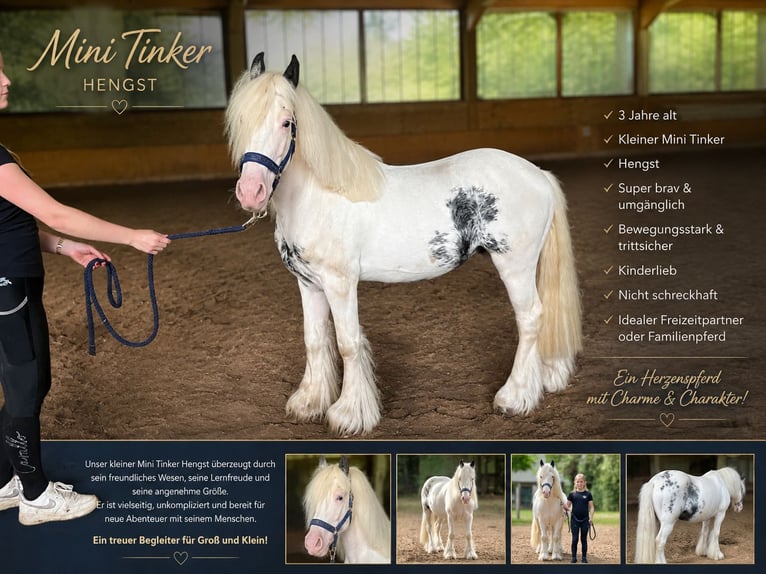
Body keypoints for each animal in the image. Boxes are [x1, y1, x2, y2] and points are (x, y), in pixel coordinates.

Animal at [225, 52, 582, 436]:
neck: (320, 196)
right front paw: (309, 403)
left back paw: (514, 397)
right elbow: (315, 340)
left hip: (515, 266)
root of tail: (538, 175)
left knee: (530, 319)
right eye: (241, 119)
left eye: (287, 122)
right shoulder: (308, 284)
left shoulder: (340, 284)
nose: (251, 192)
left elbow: (347, 343)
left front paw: (349, 415)